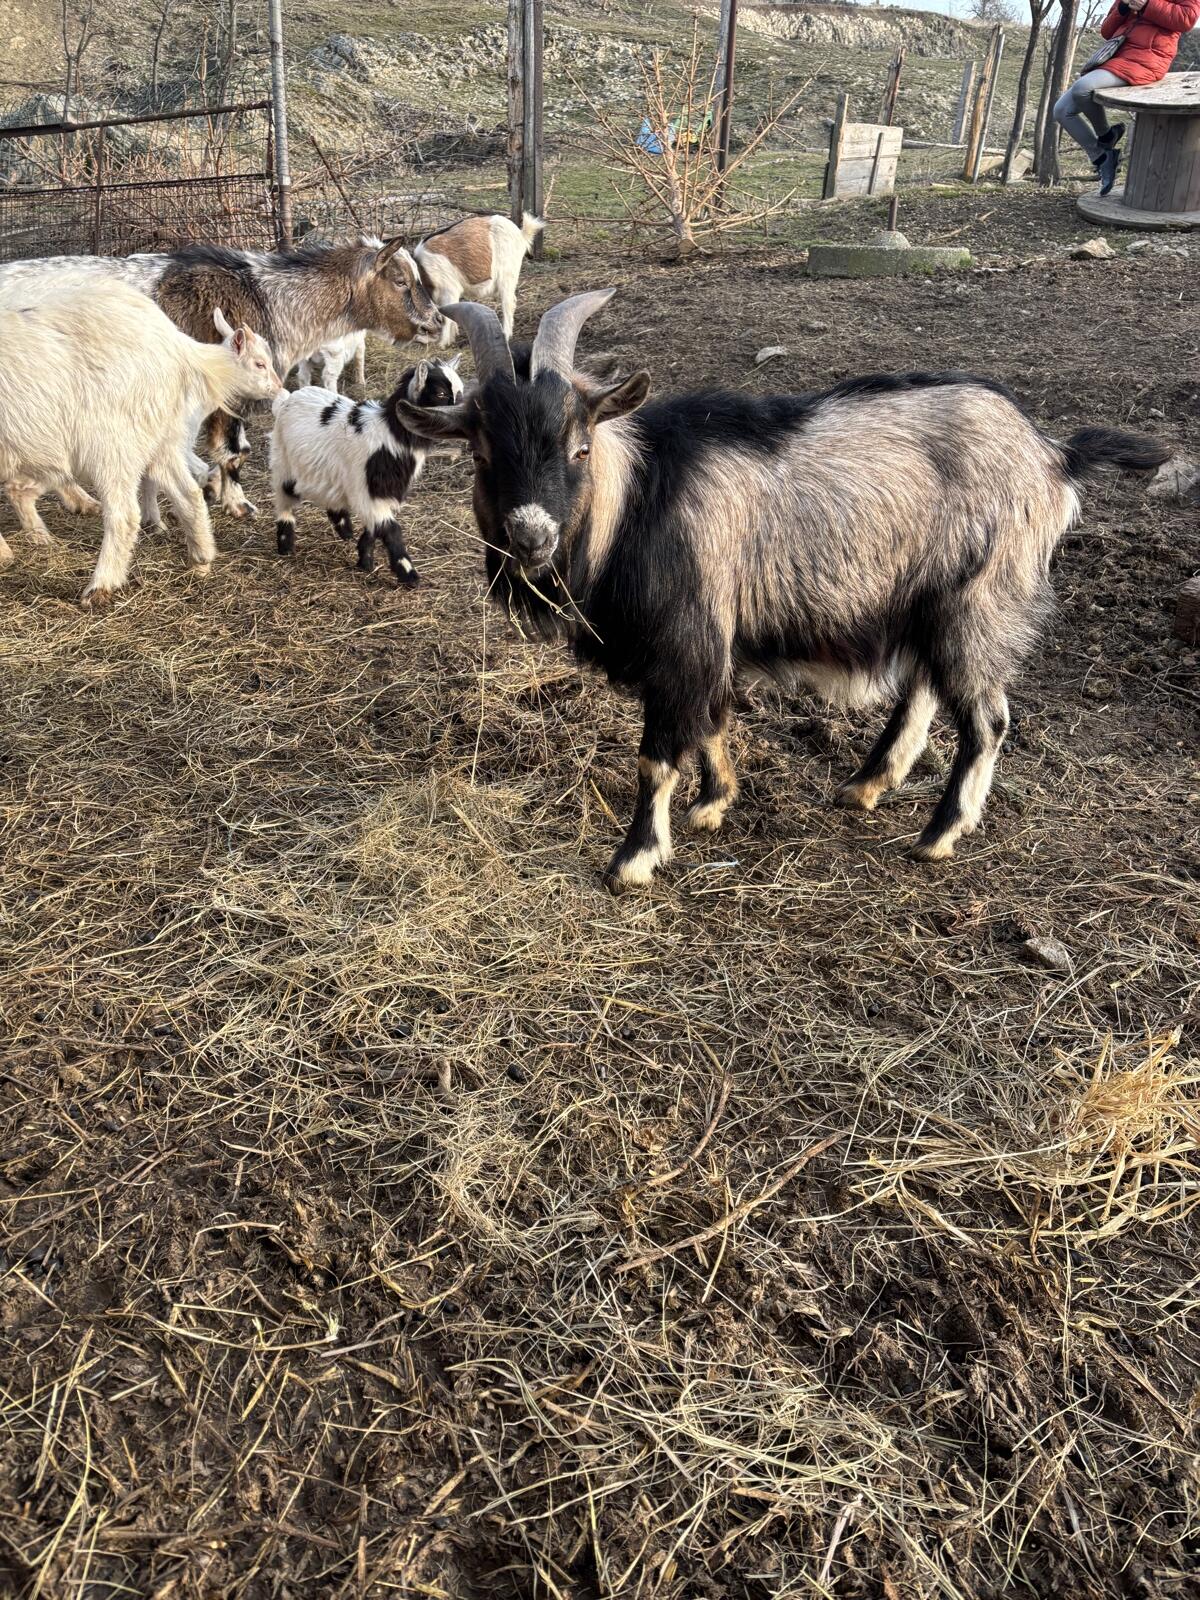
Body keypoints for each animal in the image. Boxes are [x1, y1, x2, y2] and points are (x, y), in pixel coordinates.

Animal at [0, 238, 444, 518]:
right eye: (401, 281)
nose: (437, 322)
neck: (269, 298)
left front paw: (215, 488)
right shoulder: (225, 393)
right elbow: (232, 451)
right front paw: (236, 502)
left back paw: (80, 501)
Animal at [0, 276, 281, 605]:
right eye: (260, 364)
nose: (279, 389)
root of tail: (173, 342)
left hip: (114, 441)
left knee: (123, 513)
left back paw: (100, 585)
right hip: (149, 440)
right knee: (185, 493)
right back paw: (200, 559)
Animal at [270, 356, 464, 587]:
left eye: (460, 392)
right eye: (440, 393)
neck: (390, 435)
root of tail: (288, 398)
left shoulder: (381, 491)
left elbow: (374, 527)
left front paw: (365, 560)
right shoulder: (367, 488)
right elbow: (391, 529)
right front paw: (409, 574)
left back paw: (344, 529)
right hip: (284, 462)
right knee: (285, 498)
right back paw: (285, 545)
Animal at [396, 292, 1170, 891]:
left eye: (579, 446)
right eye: (480, 454)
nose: (531, 538)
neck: (637, 501)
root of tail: (1052, 455)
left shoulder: (684, 641)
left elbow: (657, 754)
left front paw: (634, 859)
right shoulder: (708, 643)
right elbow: (712, 721)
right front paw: (714, 803)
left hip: (978, 599)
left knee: (985, 717)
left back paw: (939, 835)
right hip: (923, 601)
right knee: (923, 689)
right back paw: (865, 786)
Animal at [414, 212, 544, 346]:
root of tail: (521, 234)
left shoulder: (449, 290)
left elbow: (446, 317)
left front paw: (442, 343)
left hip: (507, 275)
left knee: (509, 303)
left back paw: (506, 335)